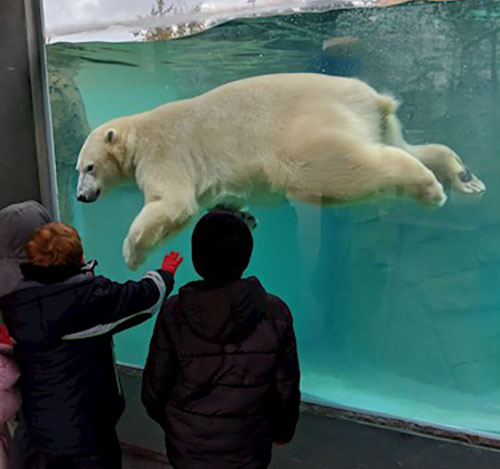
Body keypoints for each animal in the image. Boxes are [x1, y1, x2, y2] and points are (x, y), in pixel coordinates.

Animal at [77, 73, 484, 270]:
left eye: (89, 167)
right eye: (79, 169)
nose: (82, 195)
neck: (137, 132)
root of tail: (370, 99)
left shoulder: (165, 154)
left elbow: (173, 203)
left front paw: (131, 254)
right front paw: (243, 216)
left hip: (302, 130)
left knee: (330, 167)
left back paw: (429, 186)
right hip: (380, 123)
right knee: (405, 144)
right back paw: (464, 177)